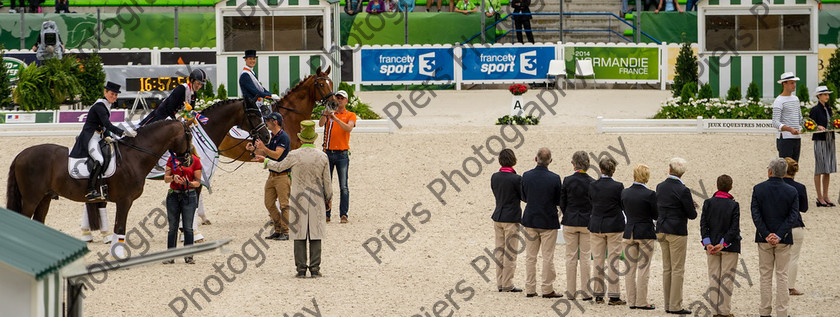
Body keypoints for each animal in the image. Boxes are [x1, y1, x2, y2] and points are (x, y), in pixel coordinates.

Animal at [6, 120, 194, 237]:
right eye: (189, 135)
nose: (188, 160)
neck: (134, 156)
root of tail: (21, 155)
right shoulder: (124, 200)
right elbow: (120, 227)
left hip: (44, 198)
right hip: (31, 198)